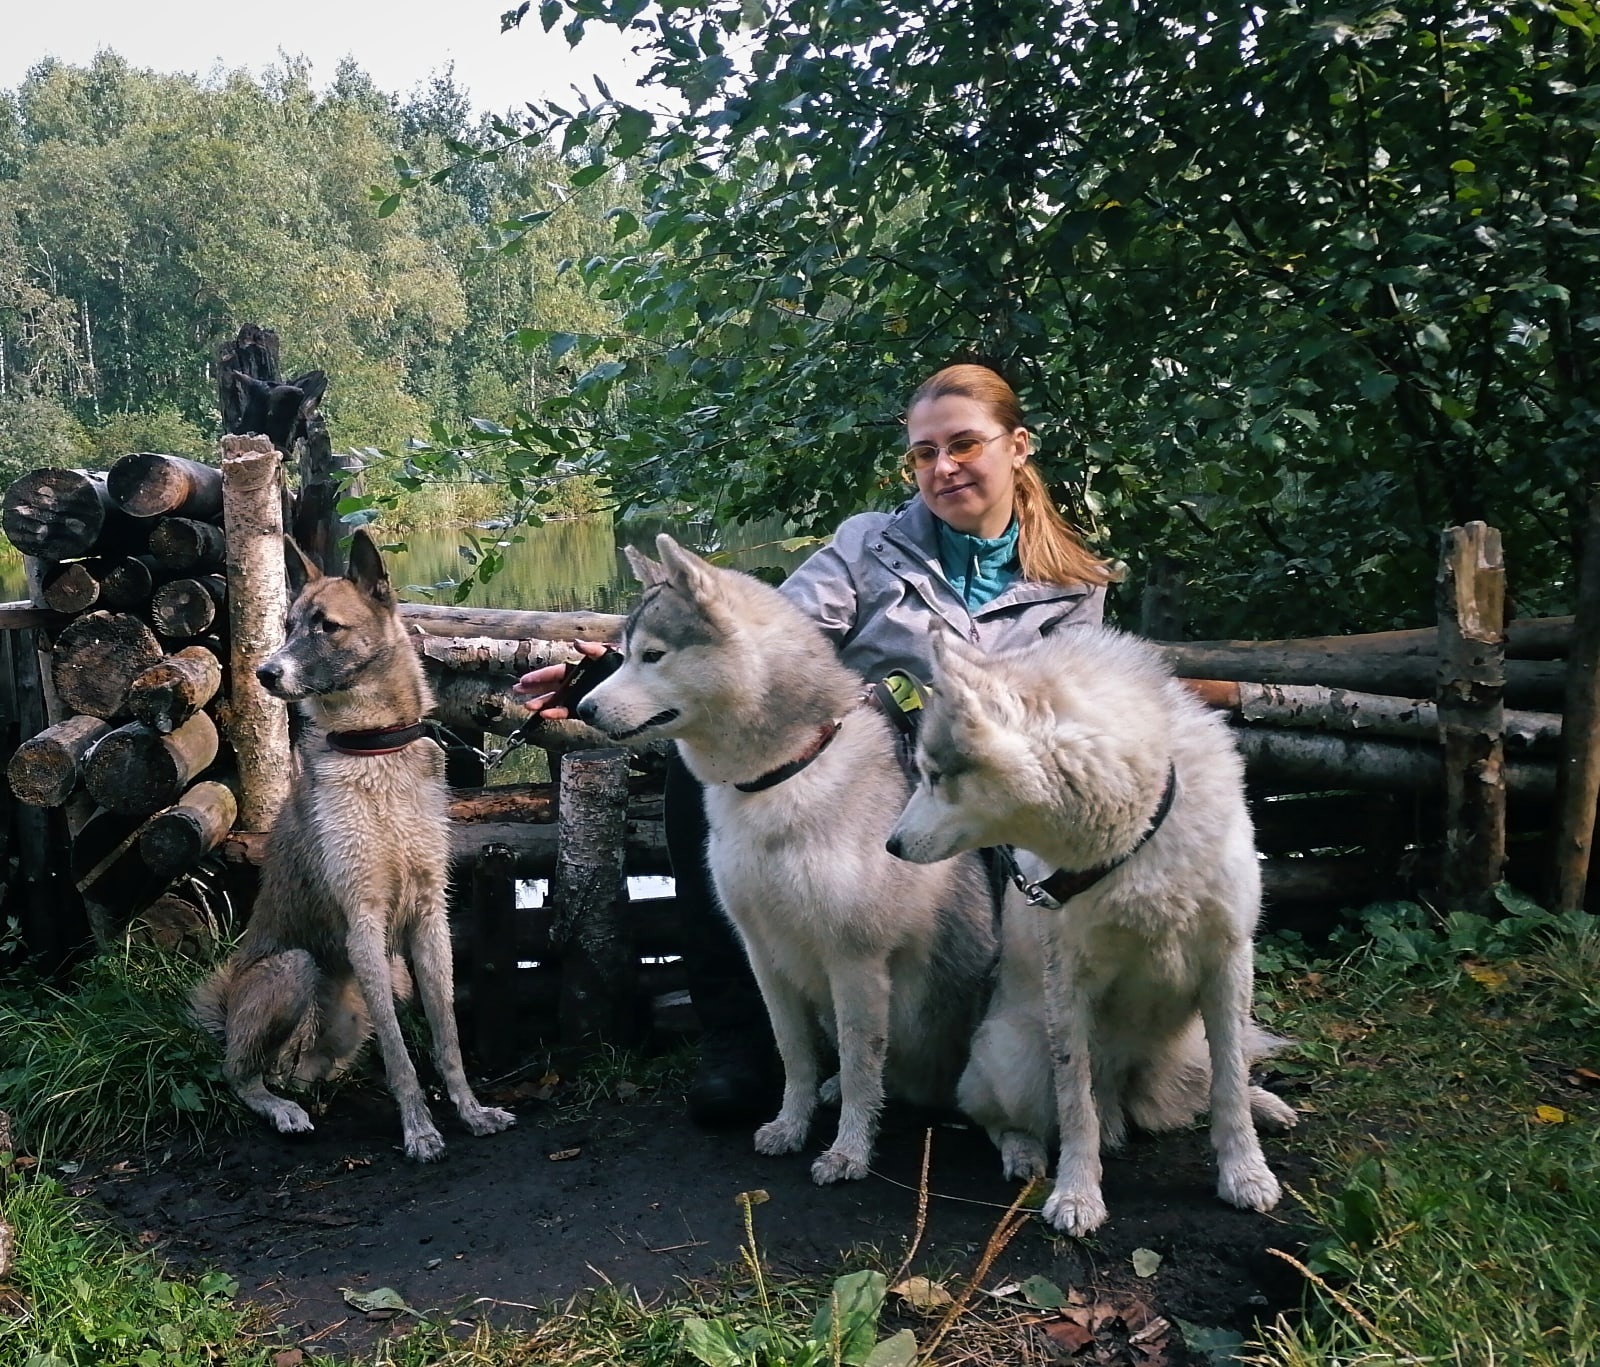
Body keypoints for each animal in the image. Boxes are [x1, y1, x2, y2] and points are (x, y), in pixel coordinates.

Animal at [188, 531, 515, 1158]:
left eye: (327, 627)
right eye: (288, 625)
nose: (265, 672)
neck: (374, 749)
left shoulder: (429, 920)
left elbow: (447, 1035)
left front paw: (469, 1110)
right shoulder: (363, 920)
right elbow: (398, 1052)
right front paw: (419, 1129)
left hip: (389, 979)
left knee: (294, 1070)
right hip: (291, 968)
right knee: (240, 1075)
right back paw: (282, 1109)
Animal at [889, 627, 1299, 1235]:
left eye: (935, 777)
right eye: (919, 772)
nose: (890, 845)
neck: (1136, 840)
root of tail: (1131, 1093)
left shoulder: (1228, 961)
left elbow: (1229, 1088)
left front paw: (1246, 1173)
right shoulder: (1069, 984)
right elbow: (1075, 1105)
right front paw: (1077, 1195)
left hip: (1193, 1046)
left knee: (1220, 1080)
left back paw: (1264, 1104)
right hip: (1013, 1061)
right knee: (996, 1114)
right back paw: (1024, 1153)